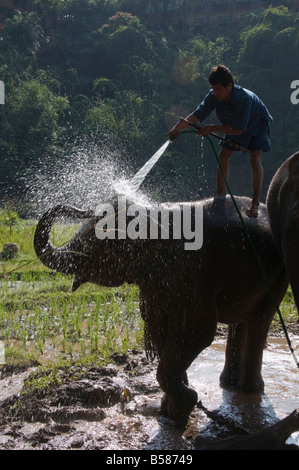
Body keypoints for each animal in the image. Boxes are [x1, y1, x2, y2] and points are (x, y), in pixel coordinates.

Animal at [34, 195, 290, 422]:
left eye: (95, 241)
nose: (80, 209)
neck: (153, 214)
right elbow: (160, 331)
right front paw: (171, 408)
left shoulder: (193, 272)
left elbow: (196, 333)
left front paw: (183, 406)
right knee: (241, 320)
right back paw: (228, 383)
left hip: (278, 275)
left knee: (259, 321)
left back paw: (248, 389)